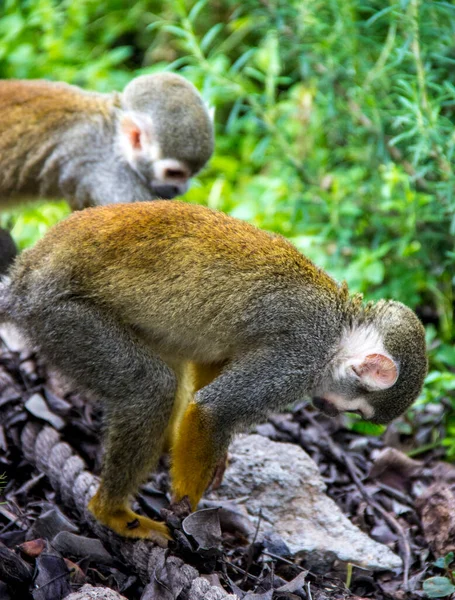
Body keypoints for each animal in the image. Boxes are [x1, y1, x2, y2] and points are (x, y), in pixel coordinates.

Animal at [0, 200, 428, 544]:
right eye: (357, 412)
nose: (328, 410)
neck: (340, 331)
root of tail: (24, 278)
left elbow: (213, 364)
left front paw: (214, 461)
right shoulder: (300, 356)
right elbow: (212, 410)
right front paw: (188, 508)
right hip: (61, 317)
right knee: (149, 388)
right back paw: (113, 513)